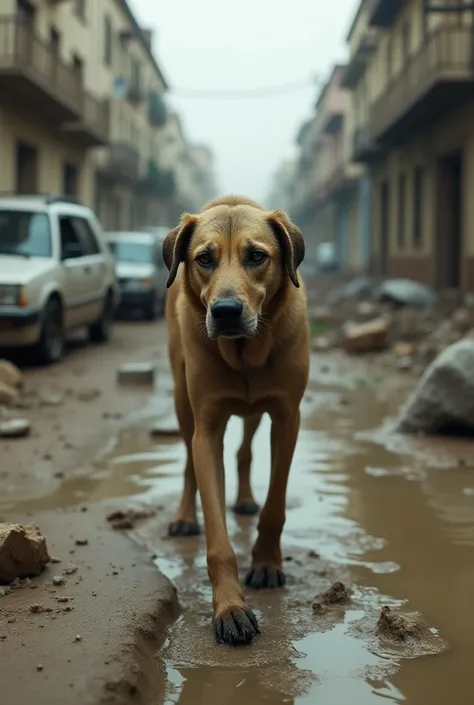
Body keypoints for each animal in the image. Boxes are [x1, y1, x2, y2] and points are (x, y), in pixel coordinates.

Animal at [163, 195, 312, 648]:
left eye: (257, 256)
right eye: (204, 258)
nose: (225, 311)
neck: (245, 350)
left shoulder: (287, 417)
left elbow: (275, 506)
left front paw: (265, 564)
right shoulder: (207, 426)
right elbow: (217, 534)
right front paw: (229, 608)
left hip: (256, 412)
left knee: (246, 449)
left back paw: (245, 497)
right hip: (181, 398)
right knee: (189, 463)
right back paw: (184, 517)